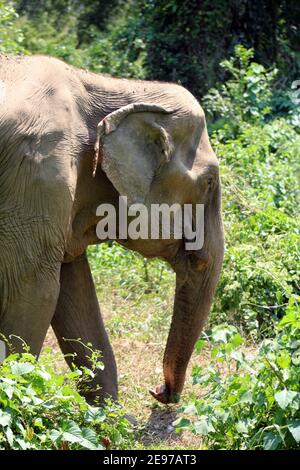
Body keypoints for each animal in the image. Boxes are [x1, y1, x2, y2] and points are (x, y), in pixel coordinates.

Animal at [0, 55, 224, 406]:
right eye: (210, 182)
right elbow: (35, 293)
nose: (158, 390)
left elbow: (74, 292)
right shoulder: (37, 173)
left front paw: (106, 416)